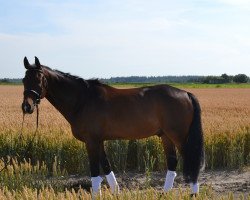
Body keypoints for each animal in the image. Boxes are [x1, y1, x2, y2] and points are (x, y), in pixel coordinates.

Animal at [21, 57, 204, 196]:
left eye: (39, 80)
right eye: (23, 80)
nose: (27, 107)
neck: (83, 100)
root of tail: (186, 93)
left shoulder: (91, 141)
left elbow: (95, 171)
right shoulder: (99, 141)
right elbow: (107, 166)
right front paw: (116, 191)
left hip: (179, 136)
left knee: (192, 161)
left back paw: (193, 194)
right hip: (165, 136)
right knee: (172, 162)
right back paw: (164, 193)